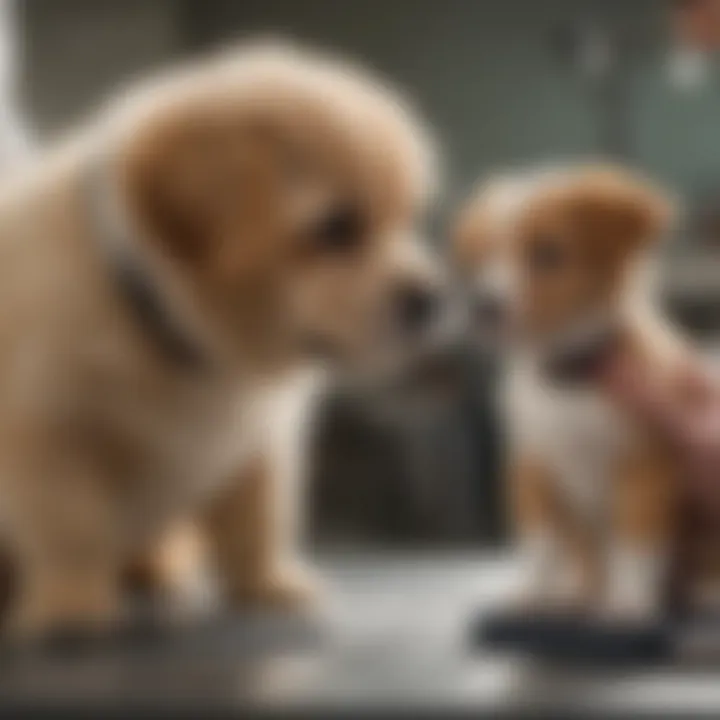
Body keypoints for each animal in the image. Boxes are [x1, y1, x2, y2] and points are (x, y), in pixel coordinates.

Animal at [0, 45, 444, 640]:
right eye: (336, 228)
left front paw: (268, 585)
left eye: (406, 217)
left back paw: (153, 572)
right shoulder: (50, 432)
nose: (431, 299)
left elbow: (257, 521)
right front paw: (72, 606)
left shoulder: (259, 441)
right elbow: (71, 529)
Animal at [456, 166, 688, 620]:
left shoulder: (646, 468)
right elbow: (541, 546)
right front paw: (534, 593)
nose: (483, 305)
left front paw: (628, 601)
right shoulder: (533, 468)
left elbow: (634, 545)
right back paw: (575, 593)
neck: (567, 381)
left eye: (548, 253)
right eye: (482, 256)